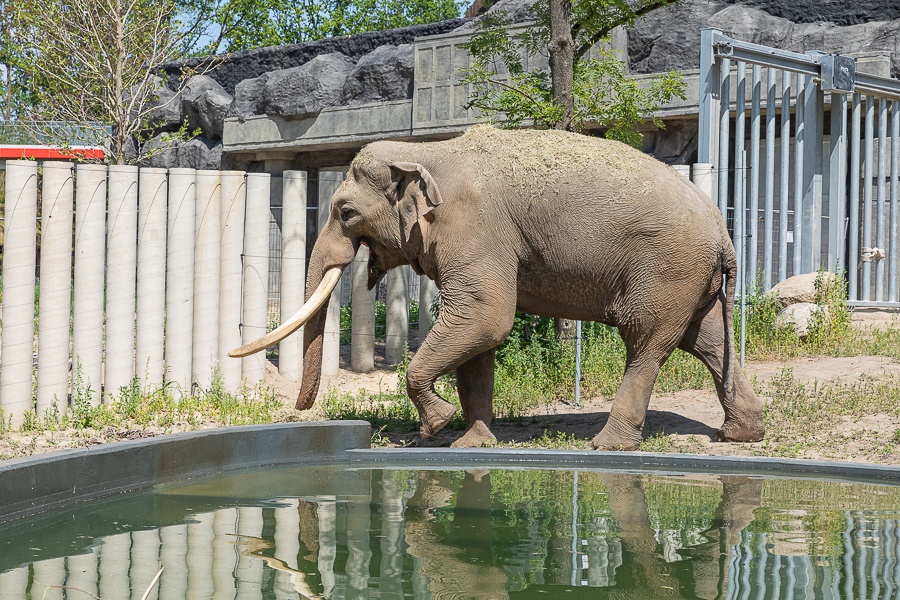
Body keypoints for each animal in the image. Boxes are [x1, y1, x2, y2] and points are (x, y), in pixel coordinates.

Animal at [232, 123, 768, 450]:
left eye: (345, 212)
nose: (300, 410)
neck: (427, 152)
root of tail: (723, 234)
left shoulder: (475, 230)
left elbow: (486, 317)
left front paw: (435, 426)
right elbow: (479, 339)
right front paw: (471, 443)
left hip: (665, 270)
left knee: (646, 343)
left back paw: (609, 444)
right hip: (690, 277)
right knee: (705, 339)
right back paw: (741, 435)